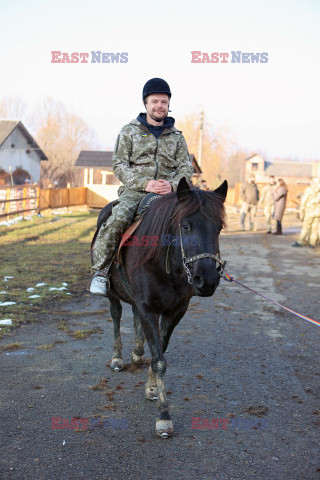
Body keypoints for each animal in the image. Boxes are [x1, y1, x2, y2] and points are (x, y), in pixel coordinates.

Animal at [91, 177, 229, 438]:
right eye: (185, 226)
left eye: (218, 228)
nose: (206, 280)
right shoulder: (148, 309)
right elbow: (159, 360)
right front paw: (164, 417)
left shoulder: (175, 312)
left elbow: (160, 351)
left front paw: (152, 387)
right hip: (113, 294)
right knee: (116, 316)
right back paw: (117, 358)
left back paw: (136, 353)